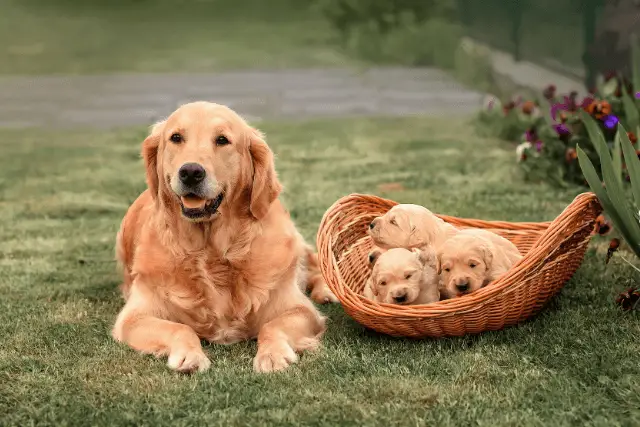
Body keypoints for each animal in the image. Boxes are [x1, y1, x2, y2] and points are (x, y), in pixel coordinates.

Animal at [112, 101, 338, 374]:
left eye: (222, 140)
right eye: (176, 137)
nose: (190, 172)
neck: (211, 253)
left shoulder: (301, 309)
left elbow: (272, 325)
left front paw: (272, 355)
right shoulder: (133, 317)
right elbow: (180, 327)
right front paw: (190, 355)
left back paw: (326, 291)